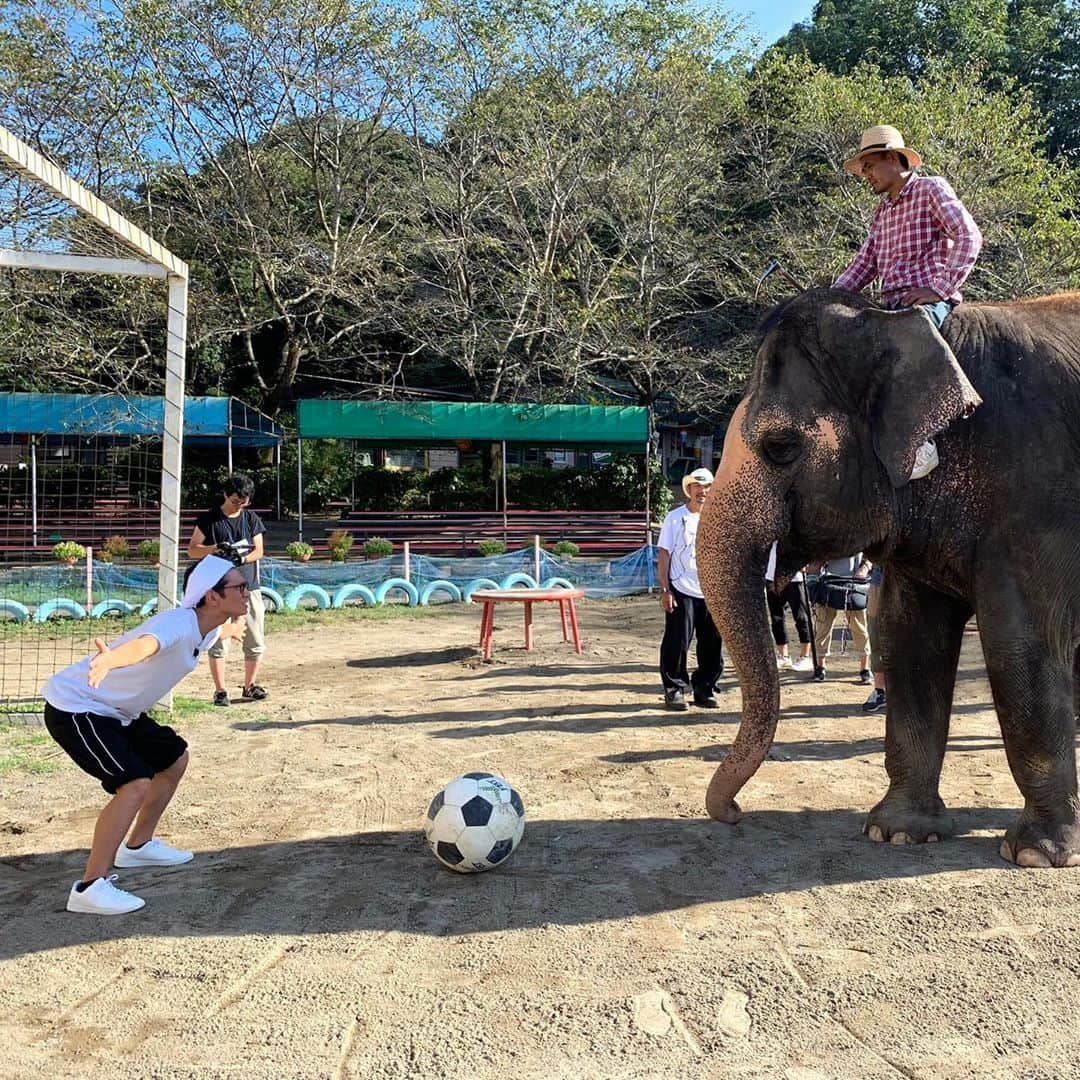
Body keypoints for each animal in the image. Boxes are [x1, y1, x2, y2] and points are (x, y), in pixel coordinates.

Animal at [695, 287, 1080, 868]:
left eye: (780, 446)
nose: (734, 814)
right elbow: (907, 639)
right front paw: (895, 833)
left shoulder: (1036, 497)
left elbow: (1022, 644)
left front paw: (1036, 855)